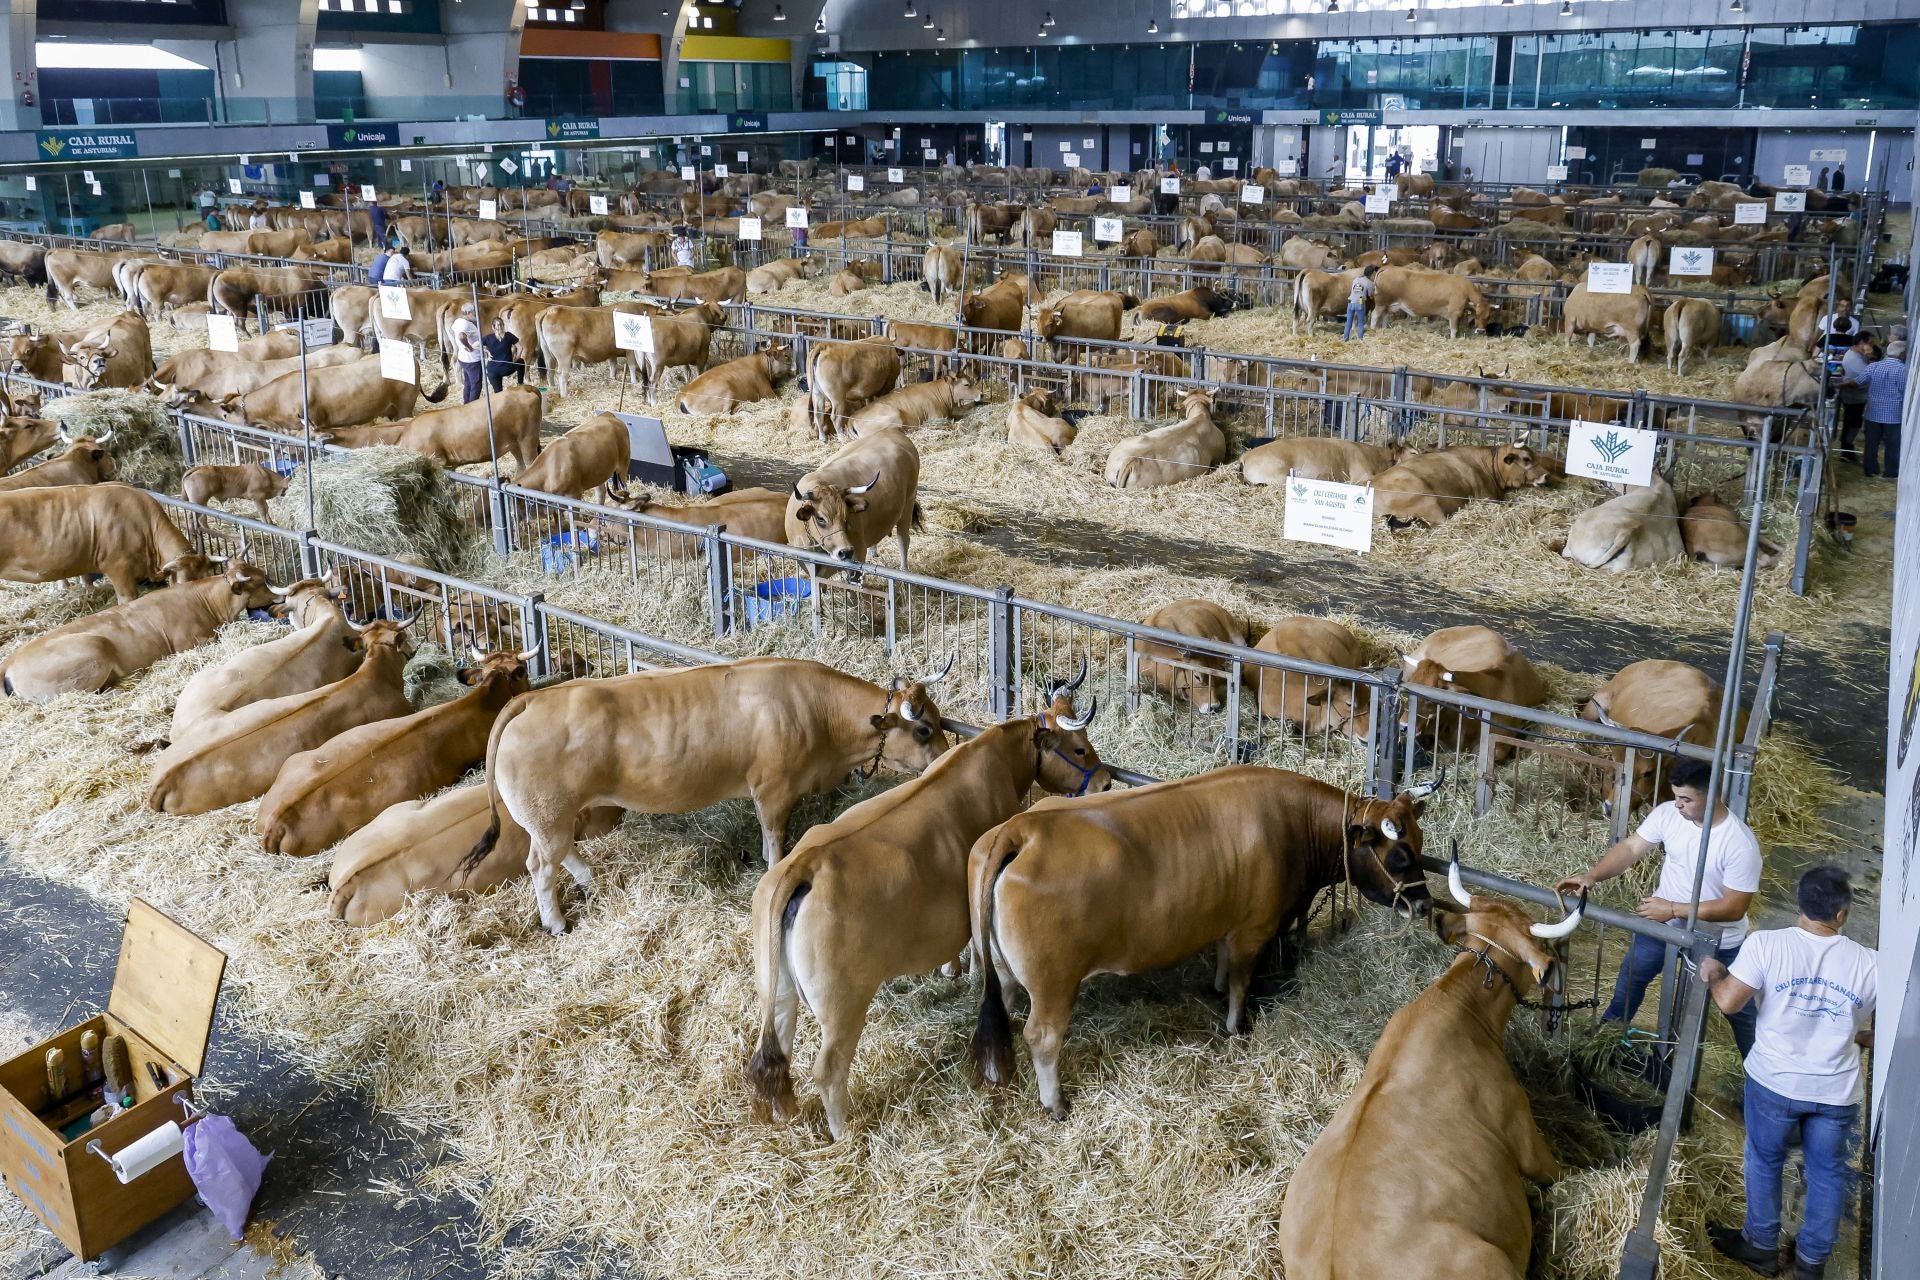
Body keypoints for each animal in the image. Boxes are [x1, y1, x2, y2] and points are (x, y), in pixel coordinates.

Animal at [1, 559, 277, 701]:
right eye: (261, 581)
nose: (278, 595)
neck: (208, 602)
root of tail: (11, 659)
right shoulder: (188, 641)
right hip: (92, 649)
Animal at [465, 657, 953, 932]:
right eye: (924, 729)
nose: (946, 758)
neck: (818, 715)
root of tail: (533, 700)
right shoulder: (773, 789)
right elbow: (775, 840)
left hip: (552, 819)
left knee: (561, 853)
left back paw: (591, 882)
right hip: (548, 816)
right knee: (541, 866)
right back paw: (556, 923)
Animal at [748, 685, 1106, 1140]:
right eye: (1079, 748)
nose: (1105, 780)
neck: (994, 760)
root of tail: (803, 866)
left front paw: (949, 969)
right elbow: (977, 947)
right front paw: (966, 971)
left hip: (775, 989)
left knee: (777, 1049)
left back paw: (785, 1115)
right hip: (842, 1004)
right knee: (827, 1069)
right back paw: (844, 1134)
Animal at [786, 426, 921, 569]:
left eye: (846, 517)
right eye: (820, 519)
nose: (845, 552)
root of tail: (893, 431)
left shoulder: (859, 551)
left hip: (908, 504)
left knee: (903, 540)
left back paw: (904, 569)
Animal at [969, 768, 1440, 1117]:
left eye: (1419, 844)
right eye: (1399, 855)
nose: (1424, 905)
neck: (1290, 823)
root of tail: (1023, 828)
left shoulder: (1227, 923)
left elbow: (1222, 960)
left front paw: (1214, 986)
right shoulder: (1254, 927)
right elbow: (1241, 980)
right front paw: (1237, 1026)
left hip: (1001, 966)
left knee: (1005, 1004)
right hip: (1054, 985)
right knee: (1042, 1037)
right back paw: (1056, 1103)